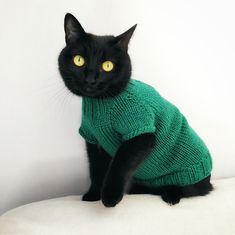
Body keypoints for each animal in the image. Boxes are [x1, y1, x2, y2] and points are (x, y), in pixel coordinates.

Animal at [58, 13, 213, 207]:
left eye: (108, 65)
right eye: (79, 60)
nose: (91, 80)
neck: (102, 102)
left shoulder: (141, 132)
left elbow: (119, 164)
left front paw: (109, 196)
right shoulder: (94, 140)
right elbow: (96, 170)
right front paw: (93, 195)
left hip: (187, 176)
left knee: (191, 190)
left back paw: (171, 194)